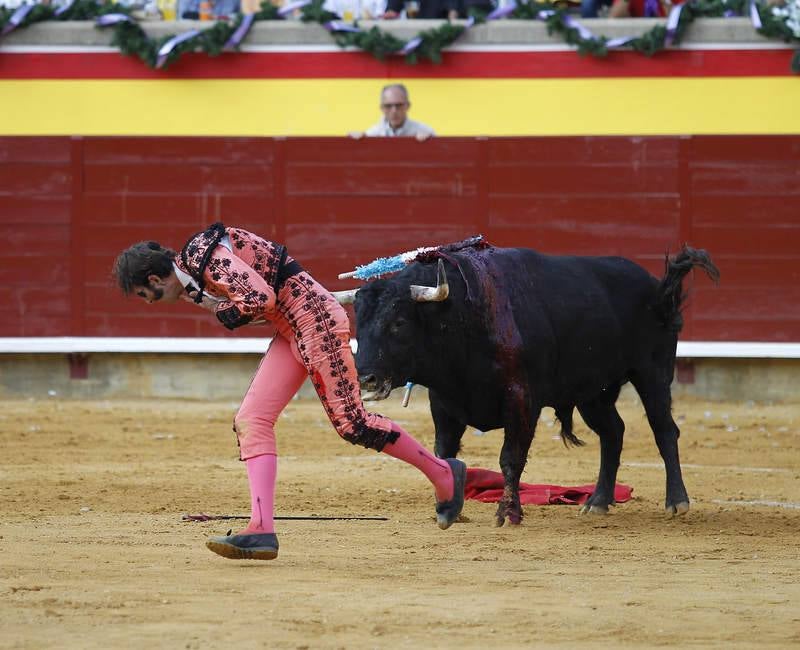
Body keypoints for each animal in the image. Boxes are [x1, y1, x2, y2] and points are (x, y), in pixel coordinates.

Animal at [346, 244, 720, 528]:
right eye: (358, 322)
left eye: (398, 322)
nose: (365, 377)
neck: (463, 315)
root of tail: (656, 286)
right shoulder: (444, 403)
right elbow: (443, 453)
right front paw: (448, 505)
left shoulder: (522, 400)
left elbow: (510, 458)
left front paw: (508, 513)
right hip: (593, 393)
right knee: (613, 432)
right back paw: (598, 501)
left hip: (652, 372)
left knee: (664, 429)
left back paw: (677, 501)